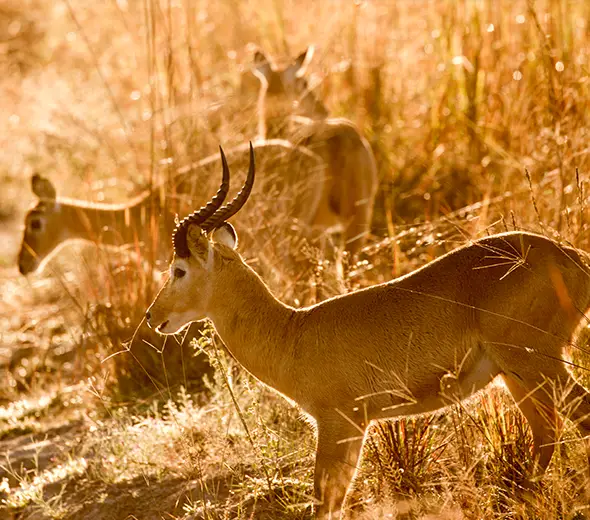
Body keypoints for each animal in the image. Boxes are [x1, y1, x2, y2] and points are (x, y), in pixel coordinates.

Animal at [147, 145, 590, 516]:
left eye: (178, 269)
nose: (153, 316)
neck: (292, 333)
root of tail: (569, 256)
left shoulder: (339, 424)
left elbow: (325, 503)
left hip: (536, 364)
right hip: (516, 375)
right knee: (547, 434)